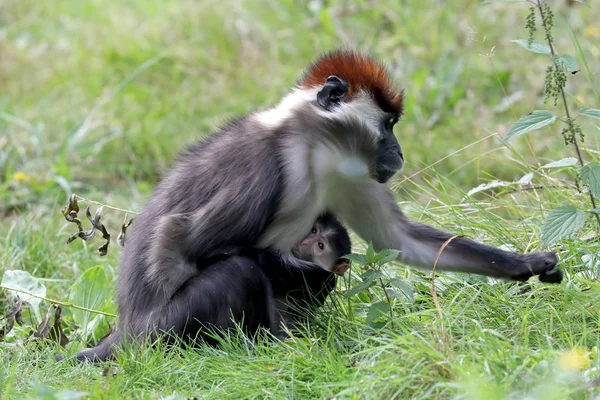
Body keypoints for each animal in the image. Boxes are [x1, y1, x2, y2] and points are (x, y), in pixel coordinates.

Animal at [75, 50, 564, 362]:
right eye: (389, 125)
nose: (400, 152)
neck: (310, 145)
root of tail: (126, 330)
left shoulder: (349, 170)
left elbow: (399, 240)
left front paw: (528, 263)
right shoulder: (266, 168)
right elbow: (181, 241)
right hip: (161, 332)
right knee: (239, 269)